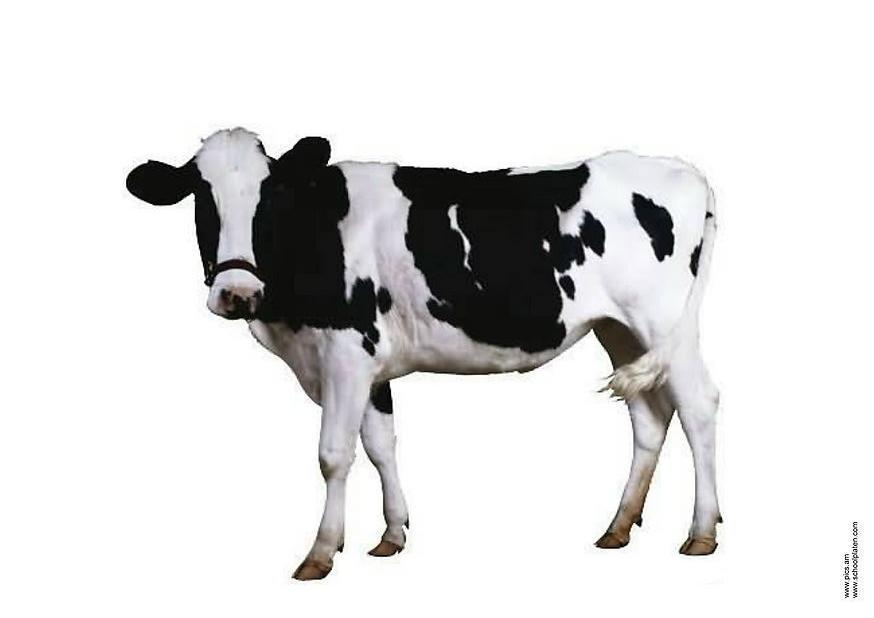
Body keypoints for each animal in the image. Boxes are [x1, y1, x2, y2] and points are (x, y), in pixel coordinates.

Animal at [126, 127, 720, 580]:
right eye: (201, 199)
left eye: (269, 198)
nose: (237, 293)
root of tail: (682, 170)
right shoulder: (368, 366)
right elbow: (380, 445)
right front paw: (391, 534)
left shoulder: (346, 353)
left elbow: (333, 454)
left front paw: (320, 552)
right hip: (619, 330)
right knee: (649, 416)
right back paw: (618, 527)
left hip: (663, 320)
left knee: (698, 408)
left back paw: (701, 532)